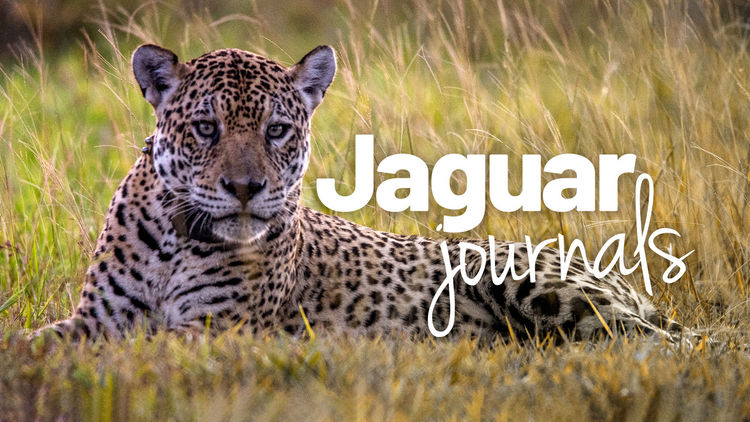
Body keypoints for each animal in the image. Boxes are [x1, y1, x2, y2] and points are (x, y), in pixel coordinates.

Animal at [32, 43, 691, 345]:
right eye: (206, 128)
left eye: (277, 130)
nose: (245, 188)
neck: (174, 242)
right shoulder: (96, 318)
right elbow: (37, 343)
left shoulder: (216, 330)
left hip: (545, 288)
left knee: (669, 342)